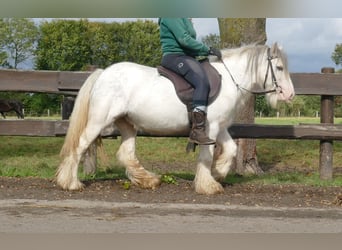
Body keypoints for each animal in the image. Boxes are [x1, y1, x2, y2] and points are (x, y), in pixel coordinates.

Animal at [55, 43, 294, 195]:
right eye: (279, 67)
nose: (290, 94)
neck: (229, 78)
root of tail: (103, 73)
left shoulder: (221, 127)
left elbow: (231, 150)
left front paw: (218, 173)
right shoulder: (209, 128)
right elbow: (206, 155)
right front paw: (208, 185)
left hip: (127, 124)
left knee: (126, 153)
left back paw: (148, 179)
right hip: (99, 121)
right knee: (80, 146)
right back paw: (70, 183)